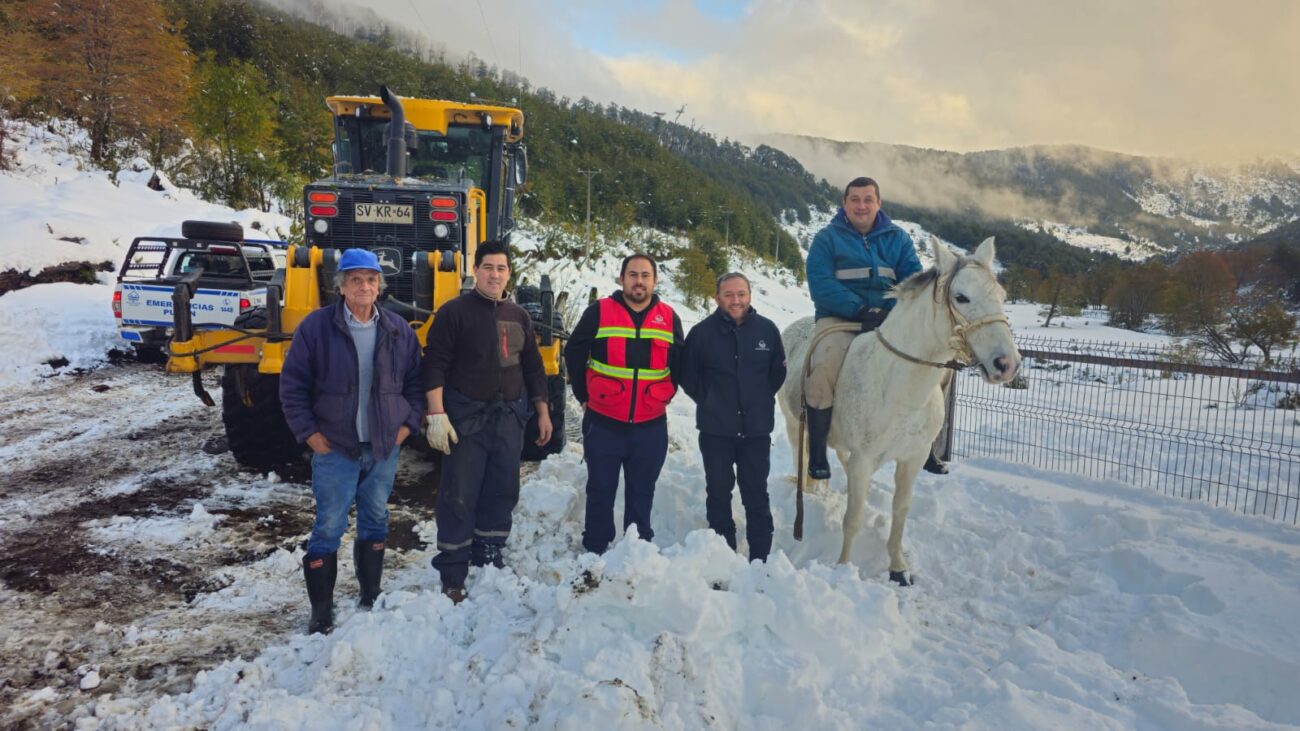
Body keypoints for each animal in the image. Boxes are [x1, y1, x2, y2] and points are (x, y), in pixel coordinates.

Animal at [774, 236, 1019, 582]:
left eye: (1001, 296)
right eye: (961, 297)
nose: (1007, 364)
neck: (902, 391)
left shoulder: (912, 459)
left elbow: (900, 510)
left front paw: (898, 568)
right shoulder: (863, 459)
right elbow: (853, 516)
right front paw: (844, 568)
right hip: (795, 424)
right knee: (805, 459)